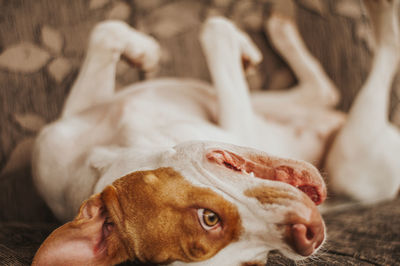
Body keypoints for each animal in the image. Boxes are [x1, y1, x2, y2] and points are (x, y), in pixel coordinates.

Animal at [32, 1, 398, 264]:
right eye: (210, 219)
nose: (310, 236)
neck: (120, 143)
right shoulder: (239, 123)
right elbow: (214, 31)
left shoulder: (68, 124)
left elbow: (105, 32)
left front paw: (144, 52)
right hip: (353, 157)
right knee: (381, 55)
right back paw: (380, 12)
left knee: (324, 90)